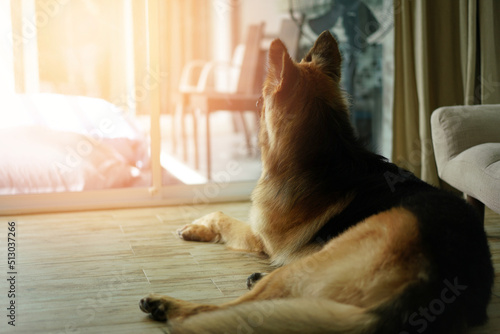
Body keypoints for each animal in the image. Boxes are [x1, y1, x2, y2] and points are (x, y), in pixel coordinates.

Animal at [139, 31, 494, 334]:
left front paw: (194, 226)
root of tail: (439, 277)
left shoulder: (263, 238)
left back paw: (167, 304)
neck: (330, 151)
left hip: (311, 263)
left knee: (223, 310)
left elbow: (223, 216)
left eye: (260, 103)